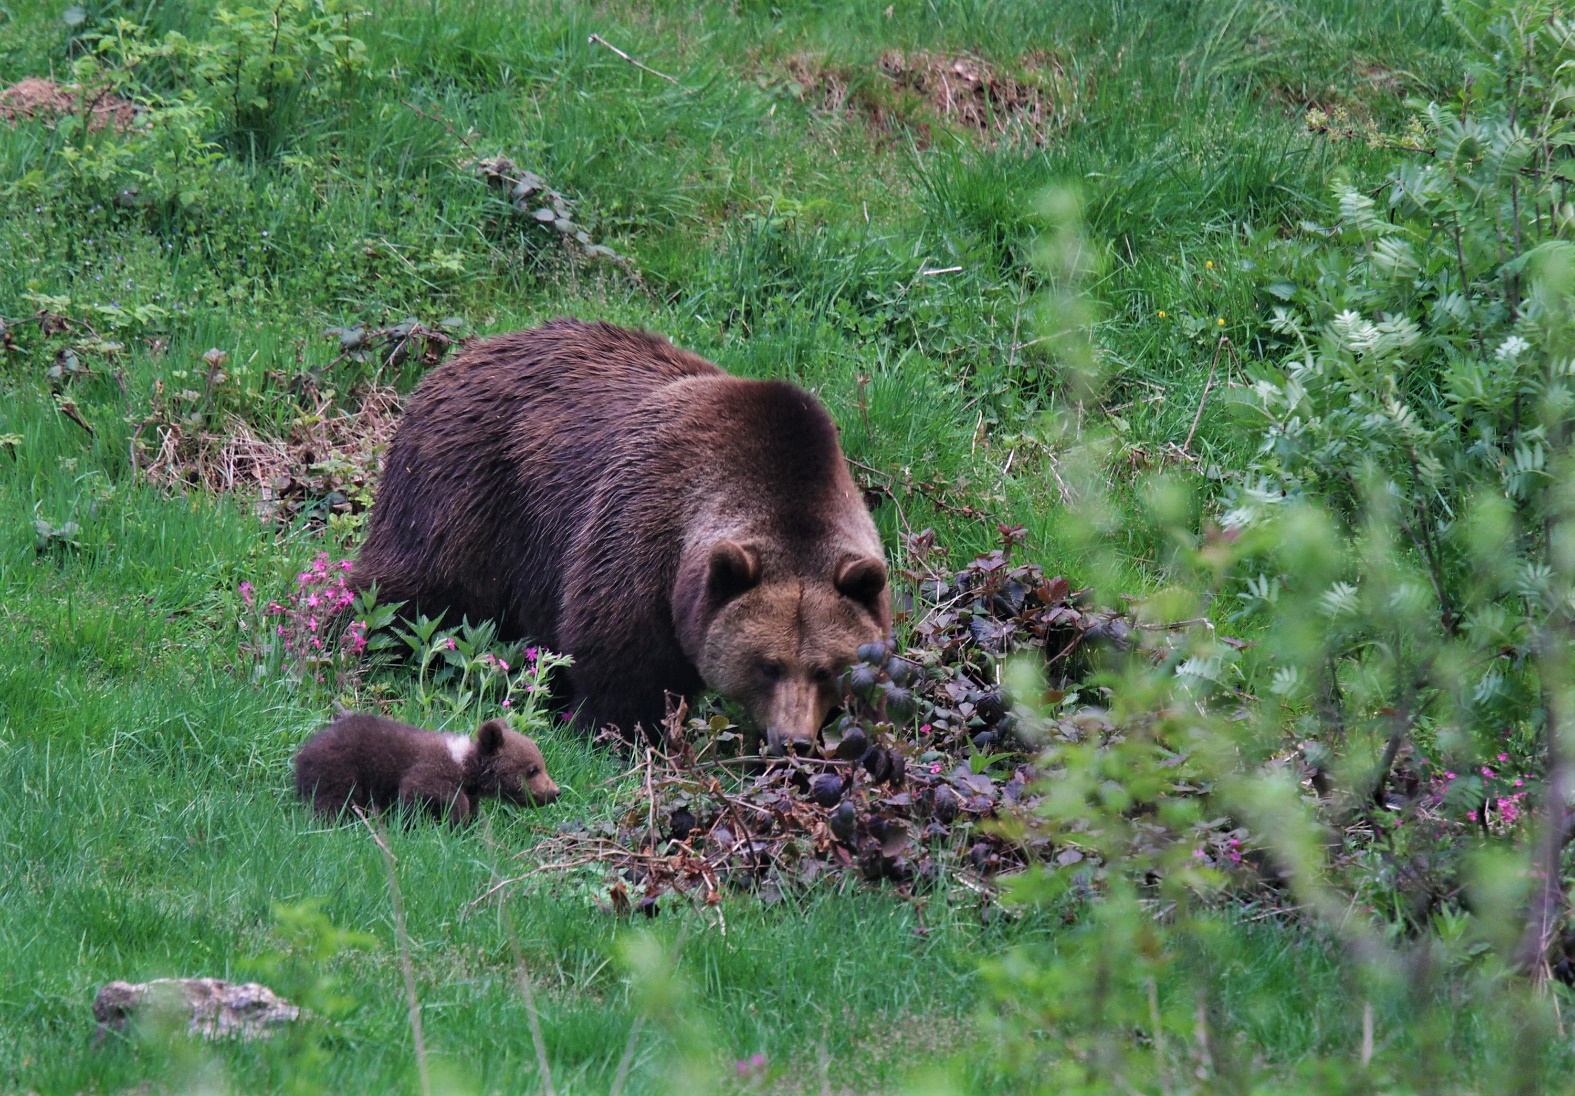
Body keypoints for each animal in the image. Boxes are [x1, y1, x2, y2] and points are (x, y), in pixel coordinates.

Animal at [357, 319, 894, 752]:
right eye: (768, 664)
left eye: (825, 670)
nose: (795, 739)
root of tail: (463, 355)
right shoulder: (641, 527)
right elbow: (623, 661)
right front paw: (621, 734)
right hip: (467, 488)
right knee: (417, 588)